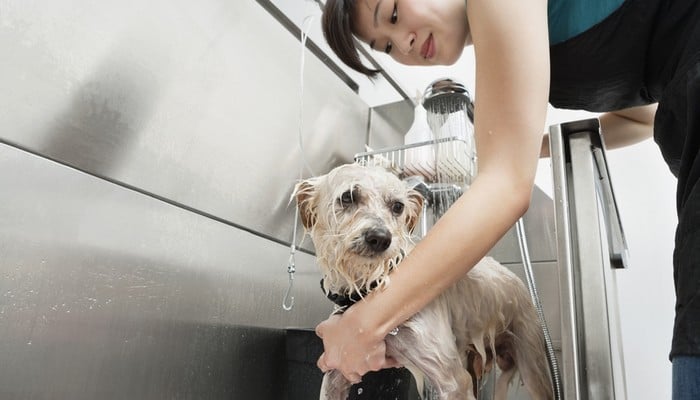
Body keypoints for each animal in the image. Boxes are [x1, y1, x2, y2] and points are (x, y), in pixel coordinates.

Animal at [294, 163, 552, 400]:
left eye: (397, 206)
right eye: (347, 197)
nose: (380, 238)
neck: (370, 289)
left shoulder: (453, 381)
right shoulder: (339, 367)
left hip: (531, 360)